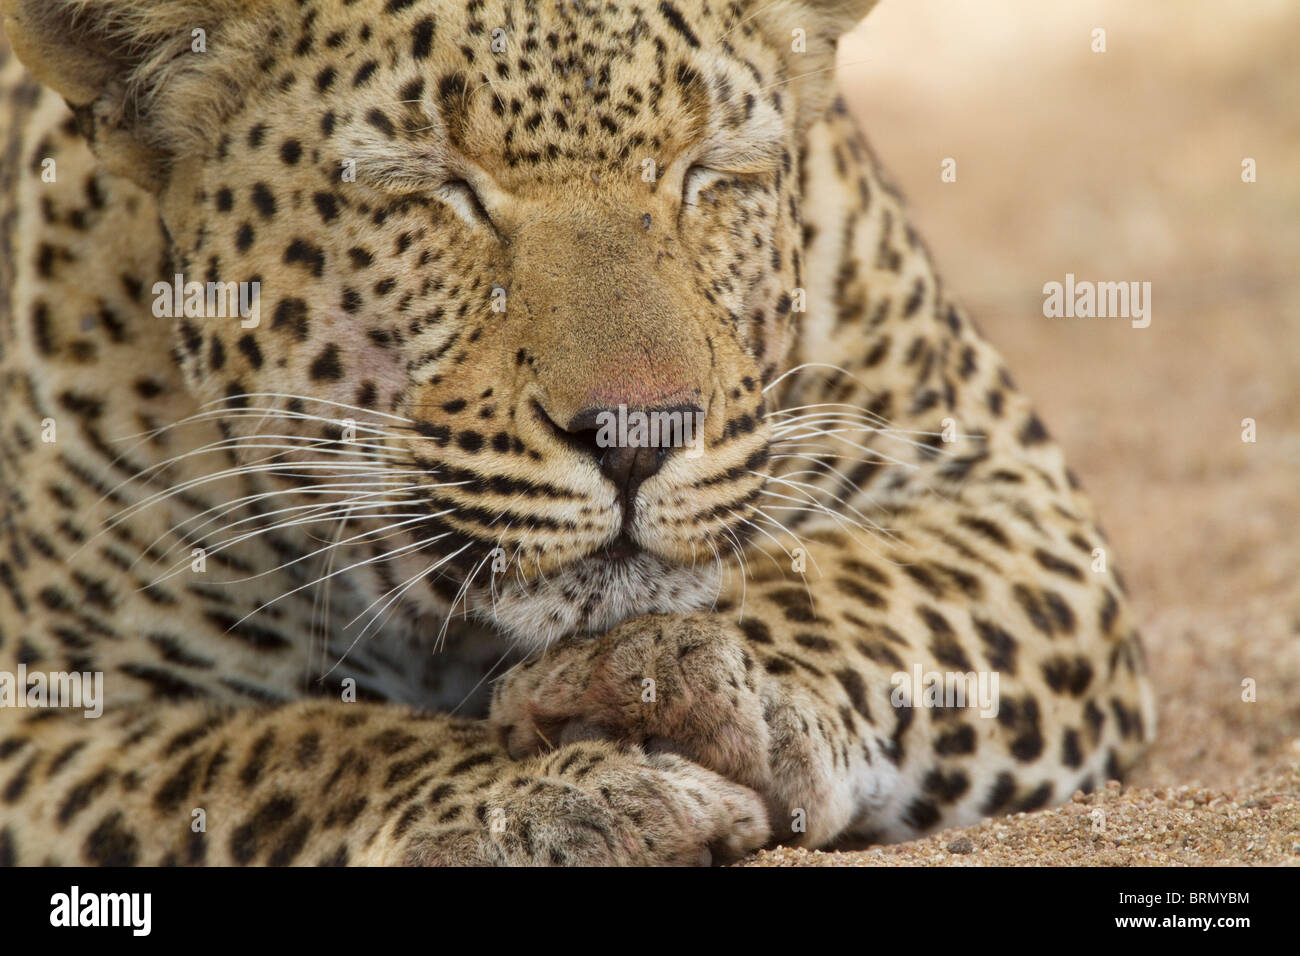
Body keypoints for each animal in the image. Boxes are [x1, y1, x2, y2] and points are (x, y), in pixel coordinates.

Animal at [0, 0, 1154, 868]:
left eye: (704, 170)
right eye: (434, 187)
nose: (639, 433)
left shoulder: (1003, 493)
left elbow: (861, 589)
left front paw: (676, 671)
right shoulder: (43, 706)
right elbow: (283, 749)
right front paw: (555, 796)